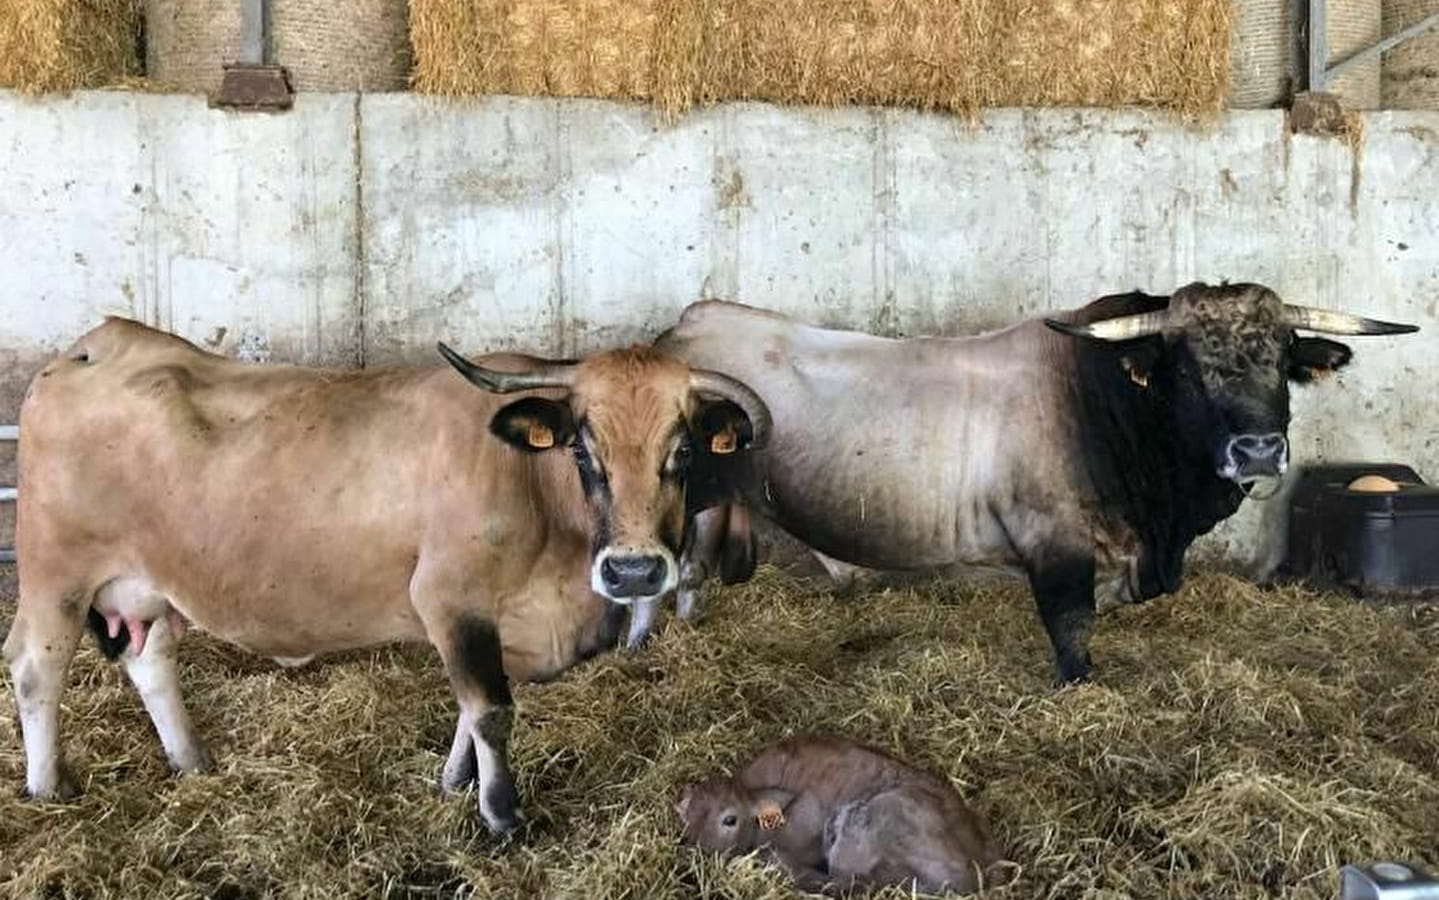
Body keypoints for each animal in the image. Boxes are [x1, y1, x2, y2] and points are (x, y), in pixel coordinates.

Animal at [5, 315, 771, 829]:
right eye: (583, 448)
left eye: (682, 450)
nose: (635, 571)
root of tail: (97, 342)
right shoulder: (449, 598)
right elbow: (490, 709)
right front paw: (501, 815)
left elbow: (468, 708)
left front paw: (455, 781)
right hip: (54, 575)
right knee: (35, 669)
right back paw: (47, 789)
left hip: (150, 588)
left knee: (150, 661)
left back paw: (191, 761)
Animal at [659, 282, 1421, 679]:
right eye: (1184, 367)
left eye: (1284, 358)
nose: (1258, 449)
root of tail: (692, 321)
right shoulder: (1055, 548)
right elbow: (1071, 631)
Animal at [673, 737, 1001, 892]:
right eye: (686, 821)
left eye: (730, 819)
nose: (694, 857)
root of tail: (983, 867)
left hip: (860, 827)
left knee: (847, 885)